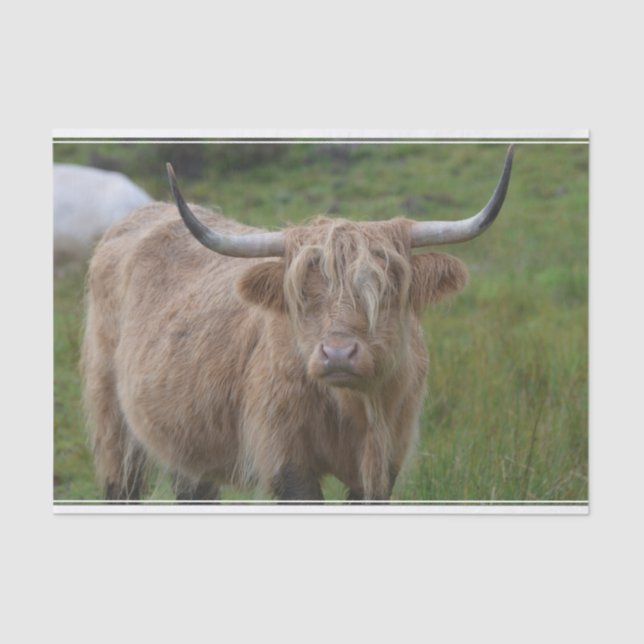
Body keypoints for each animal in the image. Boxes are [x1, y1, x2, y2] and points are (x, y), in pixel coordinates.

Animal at [81, 146, 514, 502]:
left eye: (385, 288)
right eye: (302, 293)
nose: (337, 354)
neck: (352, 408)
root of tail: (139, 215)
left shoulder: (384, 460)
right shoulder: (287, 459)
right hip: (113, 420)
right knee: (121, 485)